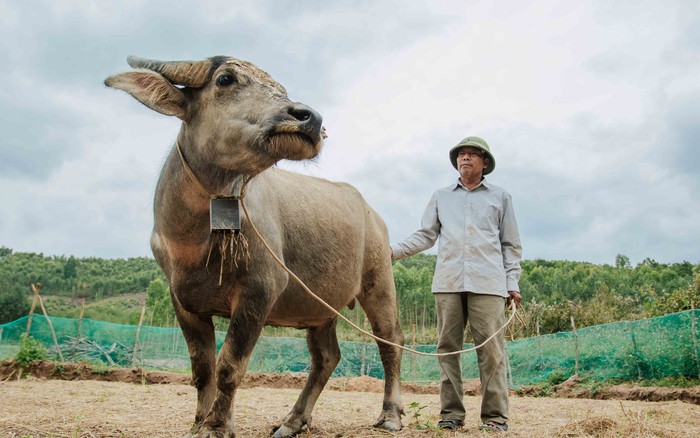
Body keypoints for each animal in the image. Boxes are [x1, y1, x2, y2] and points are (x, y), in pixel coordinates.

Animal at [101, 56, 402, 436]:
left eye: (281, 90)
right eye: (225, 79)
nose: (310, 119)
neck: (196, 241)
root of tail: (372, 214)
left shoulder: (259, 292)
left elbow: (230, 365)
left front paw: (216, 426)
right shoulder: (182, 301)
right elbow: (202, 367)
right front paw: (200, 423)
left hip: (379, 282)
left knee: (390, 341)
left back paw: (390, 414)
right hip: (319, 307)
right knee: (326, 358)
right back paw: (293, 421)